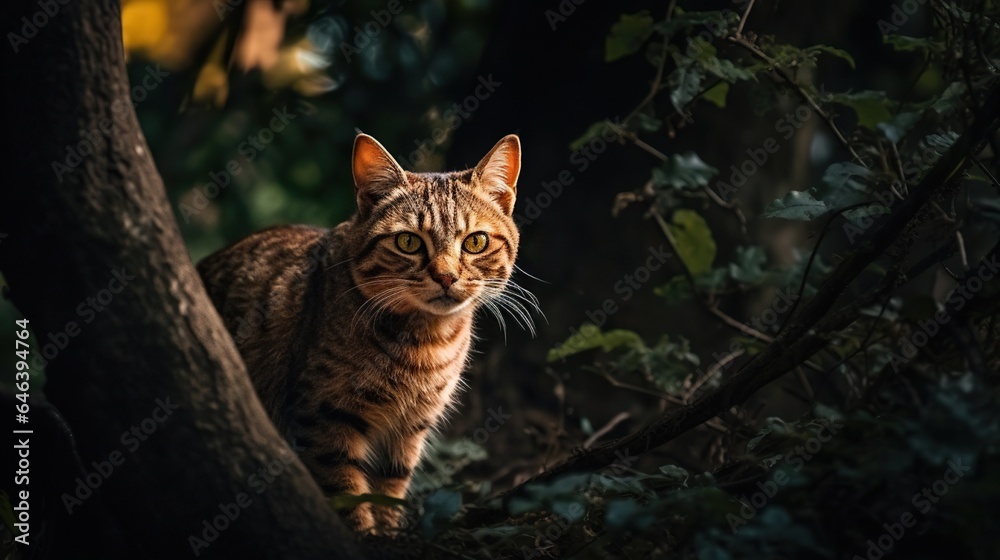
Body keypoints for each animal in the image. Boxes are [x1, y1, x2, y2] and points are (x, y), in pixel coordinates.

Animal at [198, 132, 536, 532]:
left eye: (475, 242)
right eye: (408, 242)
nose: (446, 277)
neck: (426, 341)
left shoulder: (409, 428)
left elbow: (389, 487)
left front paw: (388, 531)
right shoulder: (324, 420)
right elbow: (347, 494)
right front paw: (363, 534)